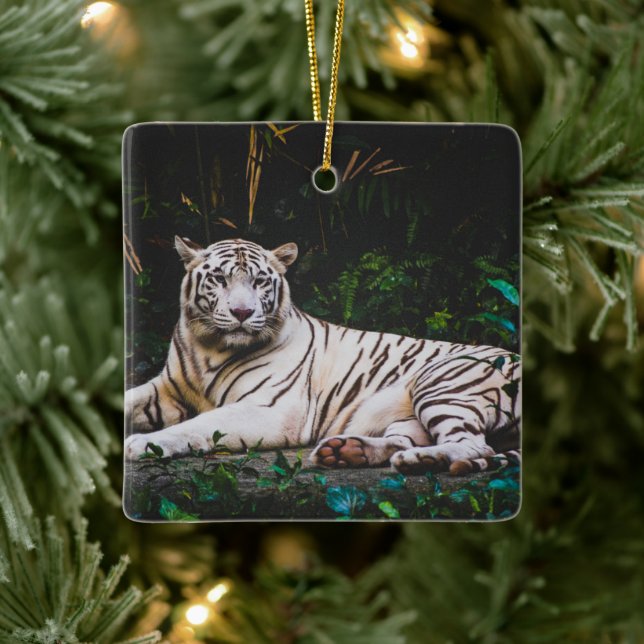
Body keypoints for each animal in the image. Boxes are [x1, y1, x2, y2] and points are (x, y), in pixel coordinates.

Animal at [124, 237, 521, 476]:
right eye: (220, 279)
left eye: (259, 282)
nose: (241, 312)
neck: (209, 346)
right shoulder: (165, 390)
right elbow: (129, 398)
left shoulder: (271, 409)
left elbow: (199, 424)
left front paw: (144, 443)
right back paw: (348, 452)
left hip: (440, 382)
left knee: (474, 445)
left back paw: (419, 461)